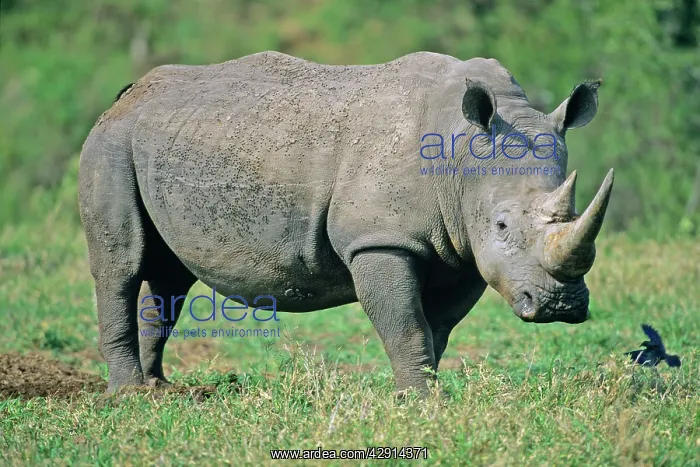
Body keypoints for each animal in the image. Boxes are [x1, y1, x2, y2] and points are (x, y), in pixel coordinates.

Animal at [78, 51, 613, 394]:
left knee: (169, 276)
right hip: (110, 144)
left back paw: (159, 389)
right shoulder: (379, 240)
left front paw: (425, 396)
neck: (460, 154)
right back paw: (128, 396)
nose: (559, 305)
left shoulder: (463, 250)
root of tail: (124, 98)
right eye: (501, 226)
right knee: (121, 267)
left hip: (164, 142)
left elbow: (437, 327)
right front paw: (419, 402)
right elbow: (406, 324)